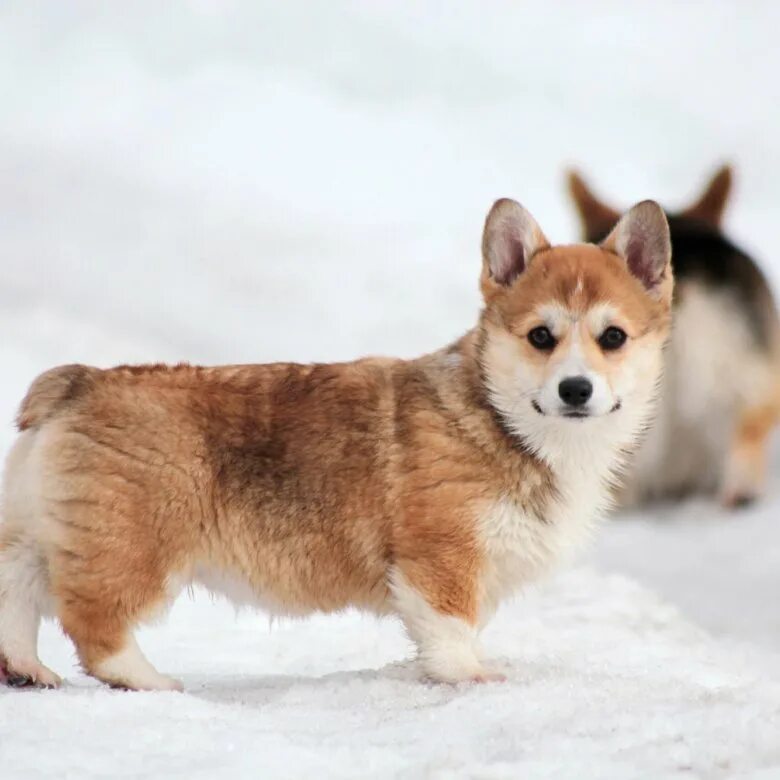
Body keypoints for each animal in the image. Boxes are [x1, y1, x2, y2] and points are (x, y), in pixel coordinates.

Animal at [0, 198, 672, 692]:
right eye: (540, 336)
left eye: (613, 337)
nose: (576, 389)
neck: (505, 420)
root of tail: (78, 383)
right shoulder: (442, 556)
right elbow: (452, 630)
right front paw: (471, 678)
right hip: (136, 544)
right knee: (95, 626)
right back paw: (154, 683)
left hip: (44, 531)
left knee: (15, 592)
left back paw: (25, 668)